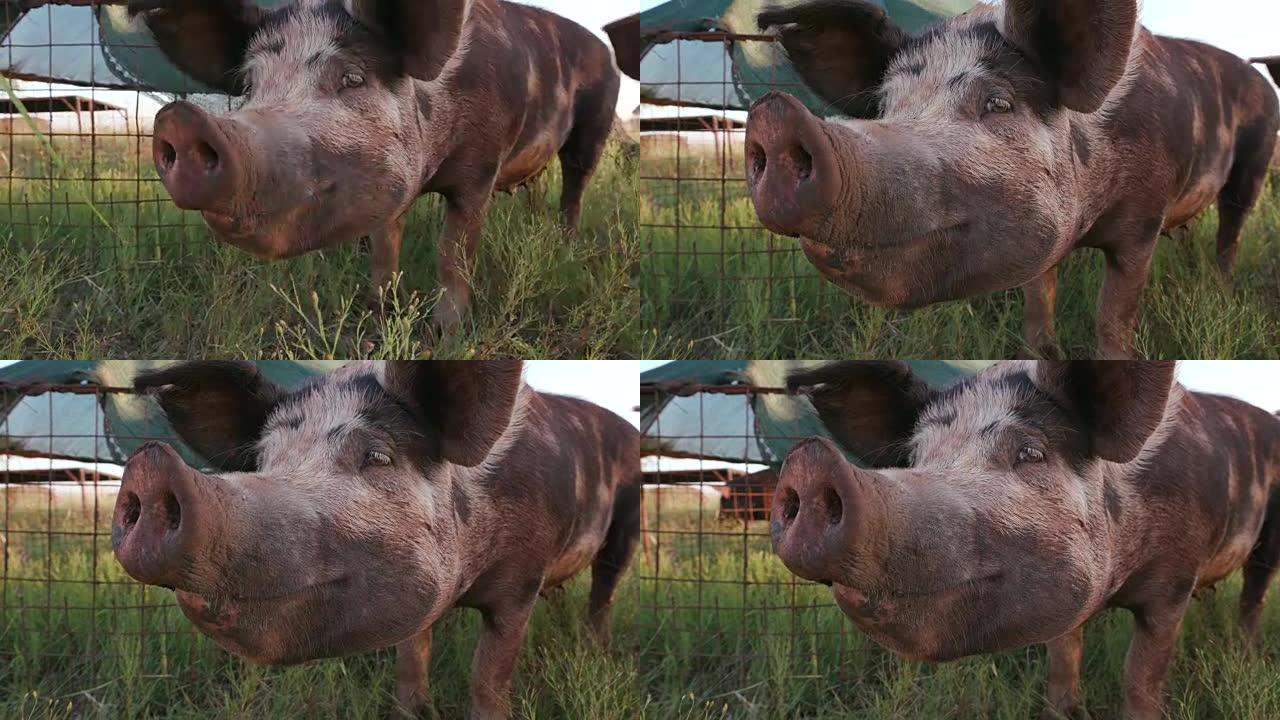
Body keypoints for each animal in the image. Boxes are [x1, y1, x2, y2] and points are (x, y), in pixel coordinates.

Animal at [112, 358, 640, 717]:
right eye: (263, 461)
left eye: (377, 457)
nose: (149, 464)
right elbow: (411, 657)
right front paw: (414, 711)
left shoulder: (520, 582)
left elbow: (488, 673)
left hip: (628, 520)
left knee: (605, 591)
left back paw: (599, 652)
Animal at [131, 1, 624, 326]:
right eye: (251, 86)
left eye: (352, 78)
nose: (178, 119)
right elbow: (386, 250)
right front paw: (378, 314)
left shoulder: (481, 168)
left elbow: (453, 255)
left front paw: (446, 334)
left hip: (594, 126)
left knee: (576, 187)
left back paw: (564, 244)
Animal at [747, 0, 1280, 358]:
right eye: (885, 107)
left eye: (998, 103)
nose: (774, 115)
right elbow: (1037, 312)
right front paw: (1043, 357)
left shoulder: (1142, 221)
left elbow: (1113, 319)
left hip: (1254, 161)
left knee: (1232, 229)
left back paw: (1221, 286)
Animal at [768, 358, 1280, 717]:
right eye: (915, 458)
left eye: (1030, 452)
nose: (809, 461)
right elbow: (1062, 662)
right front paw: (1062, 713)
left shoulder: (1172, 584)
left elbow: (1140, 676)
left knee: (1254, 593)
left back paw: (1248, 653)